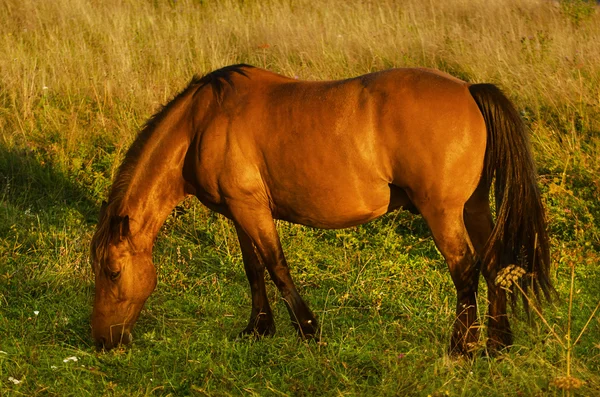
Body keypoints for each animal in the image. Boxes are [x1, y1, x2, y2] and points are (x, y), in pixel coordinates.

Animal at [90, 63, 552, 354]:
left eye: (112, 271)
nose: (102, 340)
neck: (202, 123)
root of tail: (469, 90)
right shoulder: (239, 213)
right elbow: (253, 269)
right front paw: (258, 328)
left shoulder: (252, 209)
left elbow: (277, 267)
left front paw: (308, 330)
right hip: (473, 208)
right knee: (495, 264)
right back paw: (496, 343)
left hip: (442, 212)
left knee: (465, 269)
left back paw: (462, 346)